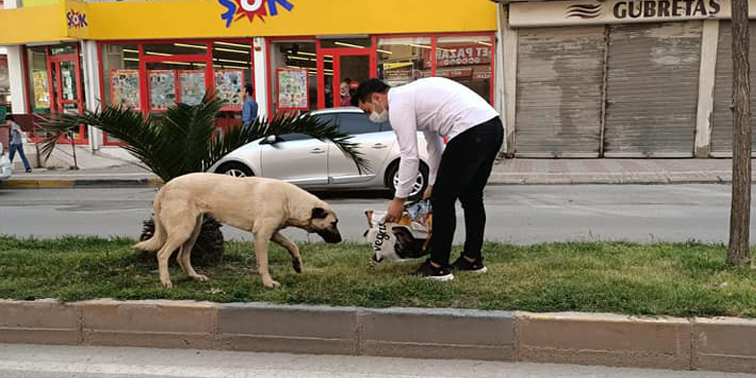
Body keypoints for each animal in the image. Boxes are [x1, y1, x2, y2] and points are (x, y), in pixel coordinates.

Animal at [134, 173, 342, 288]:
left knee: (181, 257)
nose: (340, 240)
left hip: (193, 230)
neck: (289, 200)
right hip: (183, 230)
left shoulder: (273, 232)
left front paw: (297, 264)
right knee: (162, 254)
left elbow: (292, 246)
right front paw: (268, 283)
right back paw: (165, 281)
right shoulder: (262, 234)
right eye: (333, 224)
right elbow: (263, 263)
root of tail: (166, 186)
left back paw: (194, 276)